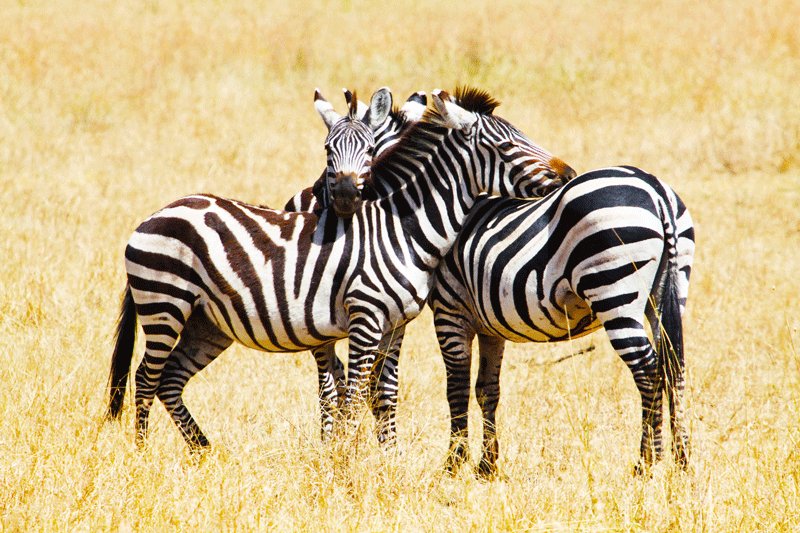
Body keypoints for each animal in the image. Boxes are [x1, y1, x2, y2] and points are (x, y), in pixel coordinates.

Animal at [104, 86, 576, 448]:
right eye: (506, 146)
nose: (569, 172)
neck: (401, 228)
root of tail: (156, 213)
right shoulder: (365, 317)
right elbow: (350, 395)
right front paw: (346, 463)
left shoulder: (394, 324)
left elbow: (384, 393)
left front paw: (387, 459)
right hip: (165, 303)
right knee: (146, 377)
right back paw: (142, 455)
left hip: (208, 321)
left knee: (170, 379)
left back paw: (205, 454)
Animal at [428, 164, 696, 476]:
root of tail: (655, 189)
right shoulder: (488, 327)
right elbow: (487, 390)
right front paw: (487, 465)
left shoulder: (450, 309)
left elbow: (456, 389)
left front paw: (453, 463)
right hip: (670, 288)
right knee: (674, 367)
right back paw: (682, 461)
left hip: (614, 290)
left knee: (649, 371)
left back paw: (646, 462)